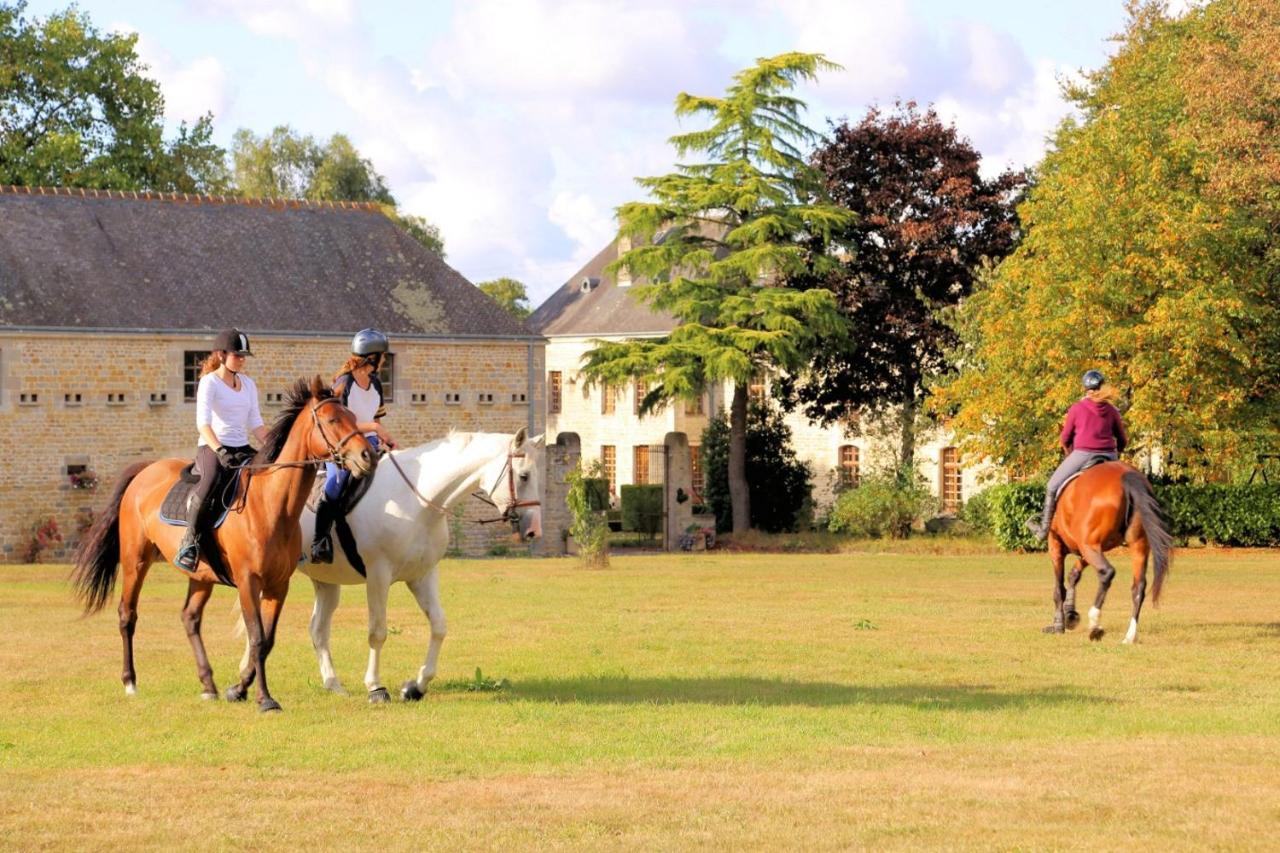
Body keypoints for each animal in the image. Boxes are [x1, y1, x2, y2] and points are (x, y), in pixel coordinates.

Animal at [72, 379, 376, 712]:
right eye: (332, 420)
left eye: (352, 416)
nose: (367, 456)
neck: (270, 505)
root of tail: (145, 471)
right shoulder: (248, 581)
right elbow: (257, 637)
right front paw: (264, 699)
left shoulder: (278, 584)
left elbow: (268, 640)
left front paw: (238, 689)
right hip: (135, 561)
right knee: (127, 614)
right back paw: (130, 682)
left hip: (201, 575)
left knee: (190, 618)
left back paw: (208, 685)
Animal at [241, 427, 542, 701]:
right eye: (524, 476)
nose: (533, 531)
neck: (417, 501)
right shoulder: (378, 575)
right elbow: (378, 632)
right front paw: (376, 687)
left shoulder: (422, 575)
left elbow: (439, 626)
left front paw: (417, 686)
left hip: (325, 580)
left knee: (317, 629)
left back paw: (332, 684)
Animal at [1039, 461, 1172, 640]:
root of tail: (1126, 474)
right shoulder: (1087, 549)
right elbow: (1074, 575)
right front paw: (1070, 615)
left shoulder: (1057, 546)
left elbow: (1059, 589)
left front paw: (1059, 625)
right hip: (1138, 544)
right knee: (1138, 586)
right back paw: (1129, 636)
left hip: (1089, 546)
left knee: (1107, 572)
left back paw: (1095, 624)